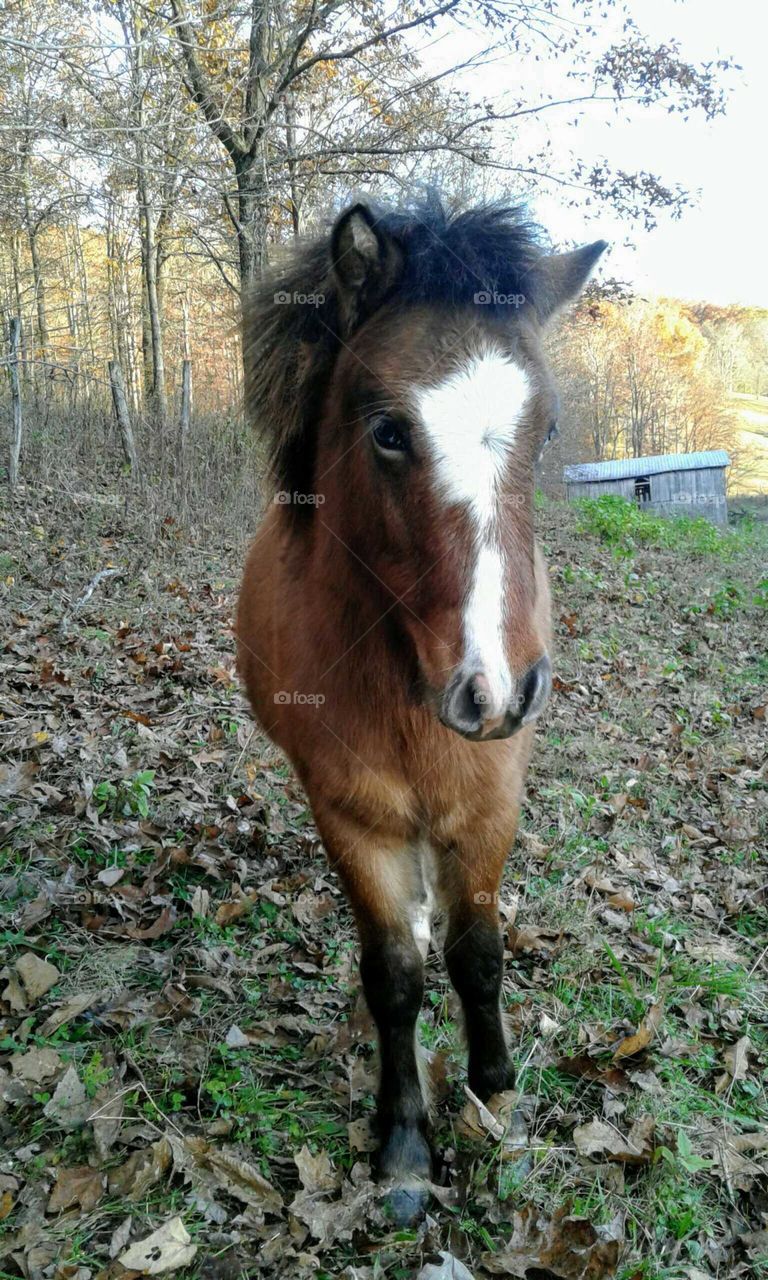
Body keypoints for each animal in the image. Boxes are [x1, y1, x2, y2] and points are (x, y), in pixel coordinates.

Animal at [236, 196, 606, 1221]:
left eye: (548, 428)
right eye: (389, 434)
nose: (496, 688)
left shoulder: (488, 806)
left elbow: (478, 952)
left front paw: (495, 1095)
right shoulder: (351, 819)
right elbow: (395, 974)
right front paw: (403, 1144)